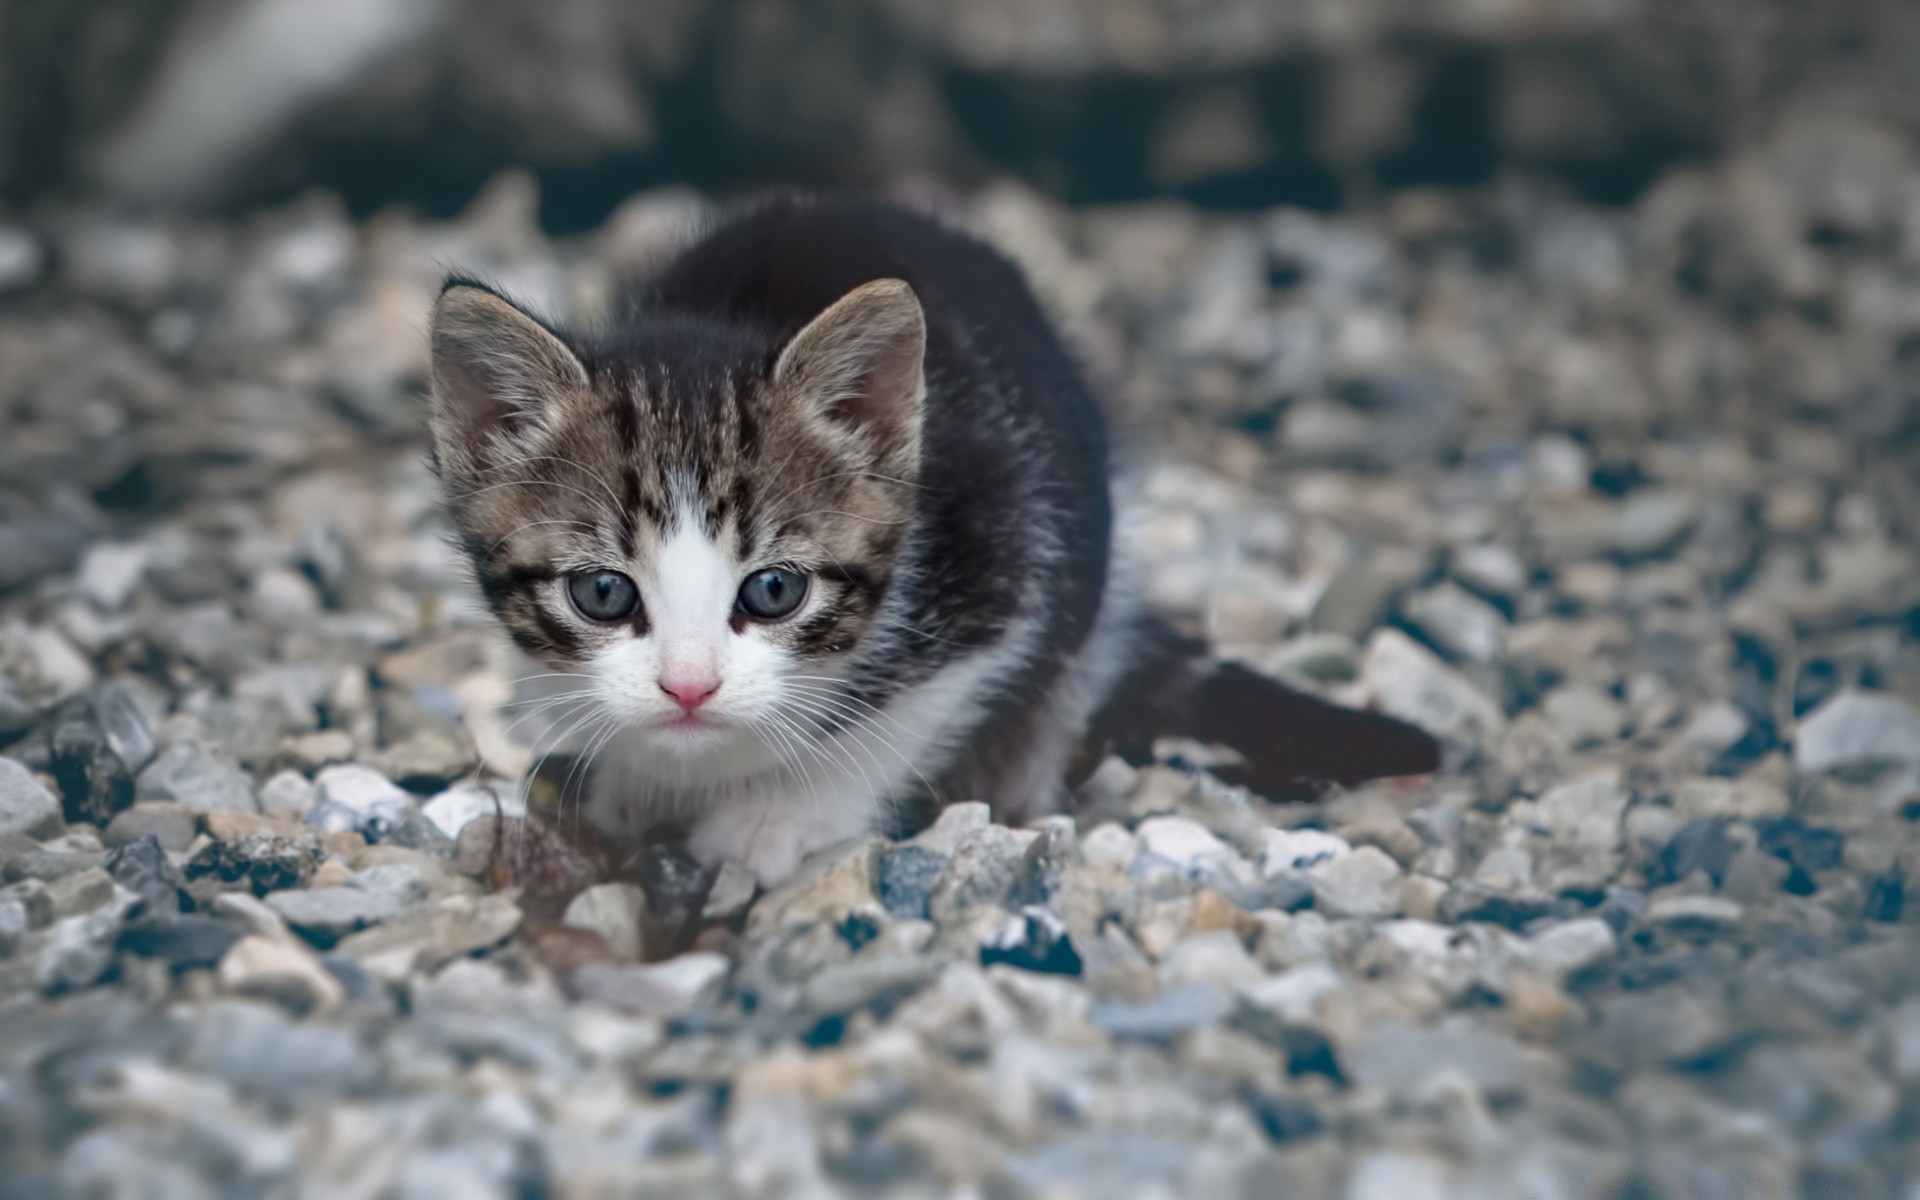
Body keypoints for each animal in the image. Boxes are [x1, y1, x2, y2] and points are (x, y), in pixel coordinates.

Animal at [424, 196, 1443, 883]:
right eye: (602, 593)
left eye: (773, 591)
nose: (688, 688)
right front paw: (635, 778)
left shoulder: (1006, 560)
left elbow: (902, 719)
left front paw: (776, 820)